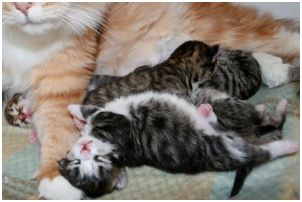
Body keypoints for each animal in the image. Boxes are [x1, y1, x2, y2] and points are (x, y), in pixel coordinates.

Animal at [57, 92, 298, 198]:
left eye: (99, 160)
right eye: (79, 164)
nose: (86, 148)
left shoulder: (109, 121)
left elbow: (89, 113)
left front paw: (74, 113)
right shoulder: (115, 123)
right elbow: (92, 114)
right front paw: (78, 117)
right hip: (227, 147)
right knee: (263, 148)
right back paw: (289, 144)